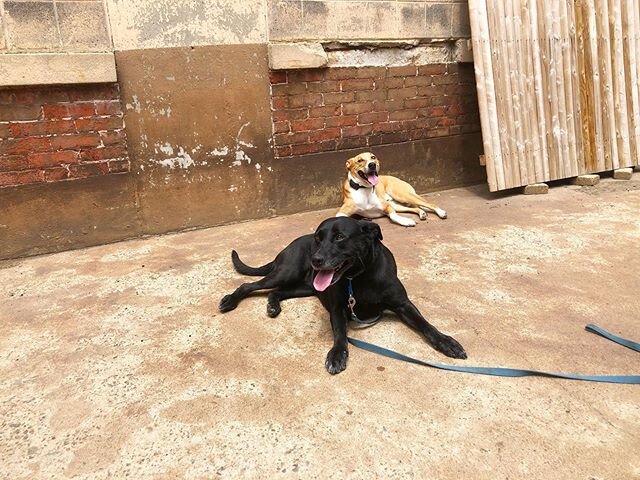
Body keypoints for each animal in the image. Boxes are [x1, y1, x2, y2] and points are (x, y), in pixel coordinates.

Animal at [219, 216, 464, 374]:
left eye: (339, 237)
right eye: (318, 238)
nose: (315, 259)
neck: (358, 277)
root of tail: (288, 246)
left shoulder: (403, 304)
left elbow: (426, 324)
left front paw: (447, 342)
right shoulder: (337, 309)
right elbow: (339, 334)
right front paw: (337, 355)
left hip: (305, 287)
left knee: (276, 293)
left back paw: (273, 306)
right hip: (286, 272)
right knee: (249, 285)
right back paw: (229, 300)